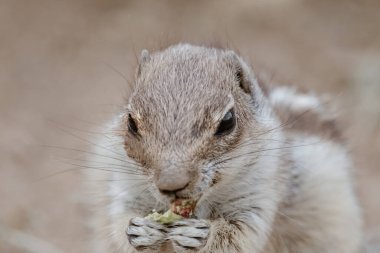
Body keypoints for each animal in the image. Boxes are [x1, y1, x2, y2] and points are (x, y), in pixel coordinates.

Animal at [85, 44, 362, 253]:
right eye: (131, 122)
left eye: (227, 121)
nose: (172, 185)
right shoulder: (125, 187)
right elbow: (118, 221)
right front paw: (139, 231)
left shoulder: (258, 196)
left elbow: (241, 235)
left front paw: (202, 236)